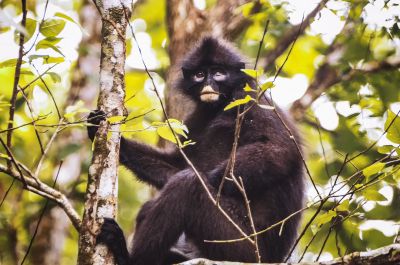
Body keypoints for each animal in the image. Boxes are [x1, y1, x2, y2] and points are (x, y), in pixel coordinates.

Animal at [87, 36, 304, 262]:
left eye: (218, 72)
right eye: (200, 74)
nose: (208, 83)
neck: (219, 107)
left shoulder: (251, 101)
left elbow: (280, 150)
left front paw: (208, 179)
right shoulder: (199, 116)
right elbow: (178, 165)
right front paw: (103, 131)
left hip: (241, 246)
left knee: (187, 185)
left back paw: (127, 257)